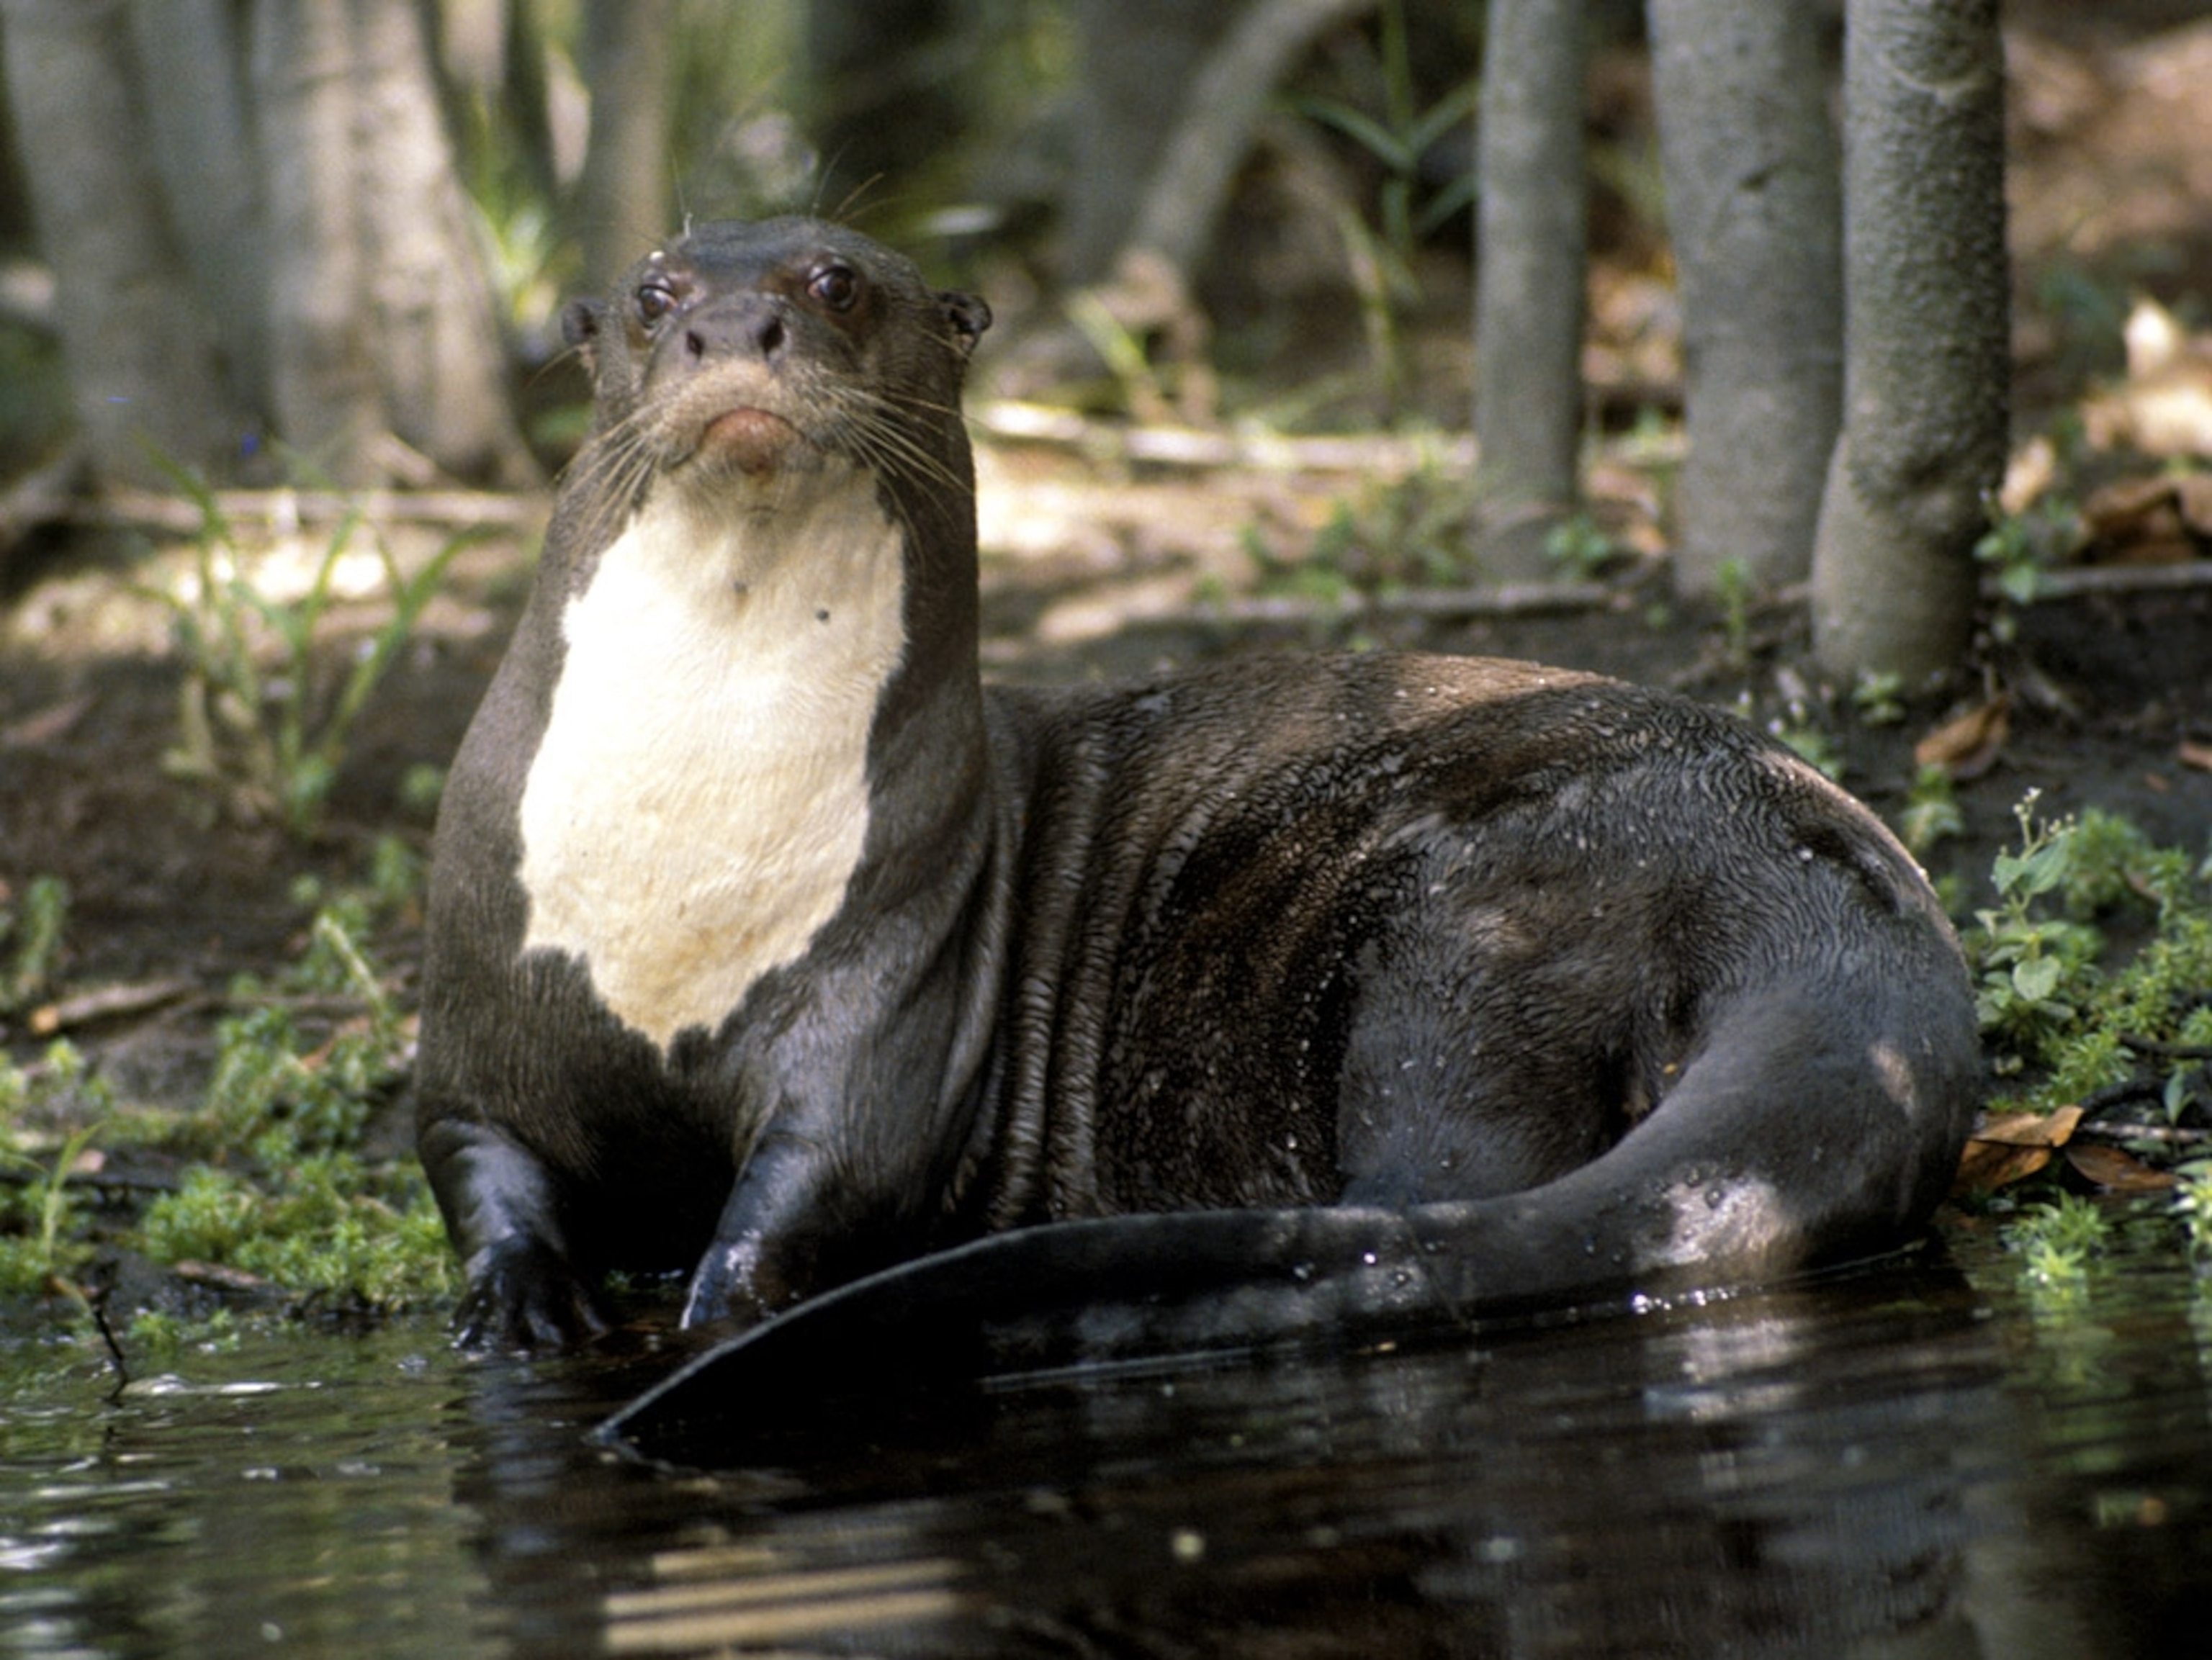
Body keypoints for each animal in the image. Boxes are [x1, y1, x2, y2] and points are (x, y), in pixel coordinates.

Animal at [414, 217, 1980, 1369]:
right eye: (651, 293)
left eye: (836, 282)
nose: (733, 330)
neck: (683, 870)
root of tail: (1834, 918)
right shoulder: (478, 982)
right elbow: (469, 1150)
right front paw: (518, 1307)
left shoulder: (886, 989)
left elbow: (826, 1164)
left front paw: (717, 1305)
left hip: (1477, 933)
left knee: (1431, 1194)